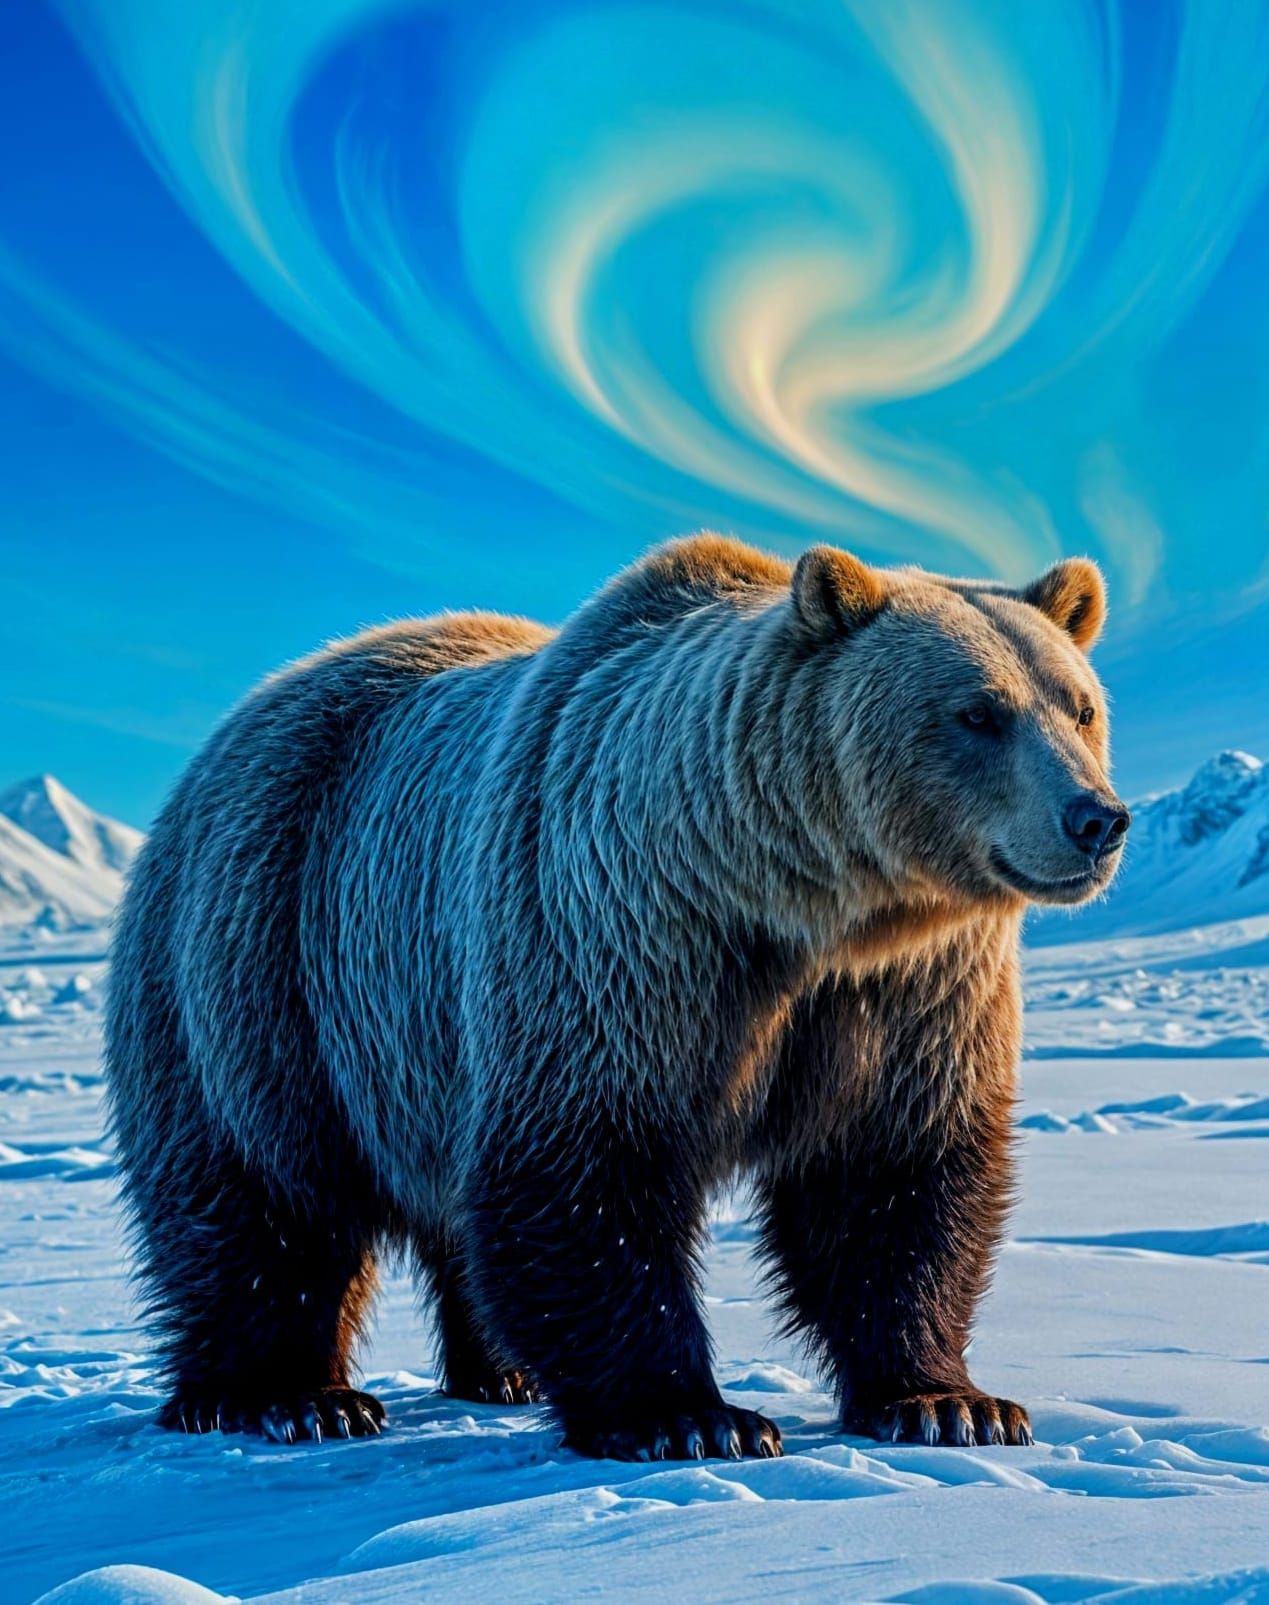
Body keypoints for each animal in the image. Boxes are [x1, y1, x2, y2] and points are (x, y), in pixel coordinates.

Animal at [104, 535, 1128, 1459]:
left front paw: (948, 1402)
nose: (1097, 819)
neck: (807, 905)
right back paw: (287, 1395)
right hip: (261, 963)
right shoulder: (615, 938)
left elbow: (891, 1176)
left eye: (1078, 706)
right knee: (259, 1200)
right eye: (978, 712)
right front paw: (687, 1416)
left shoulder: (908, 993)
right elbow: (592, 1172)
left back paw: (499, 1372)